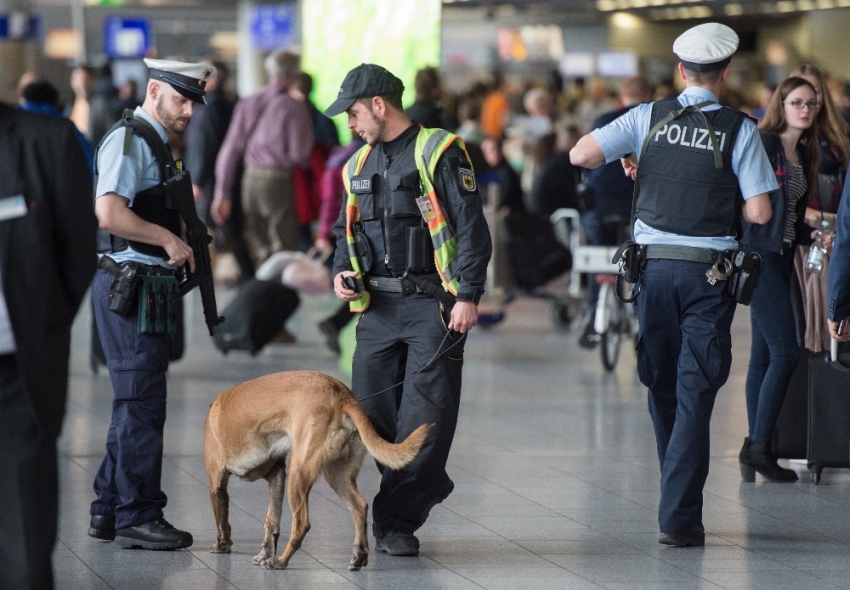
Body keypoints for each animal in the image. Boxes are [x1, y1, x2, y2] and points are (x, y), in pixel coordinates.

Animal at [202, 372, 428, 572]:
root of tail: (342, 395)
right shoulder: (276, 476)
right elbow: (271, 521)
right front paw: (264, 554)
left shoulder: (217, 483)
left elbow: (222, 521)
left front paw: (222, 545)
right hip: (337, 476)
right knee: (360, 508)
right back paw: (359, 555)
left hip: (298, 475)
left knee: (302, 523)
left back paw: (281, 561)